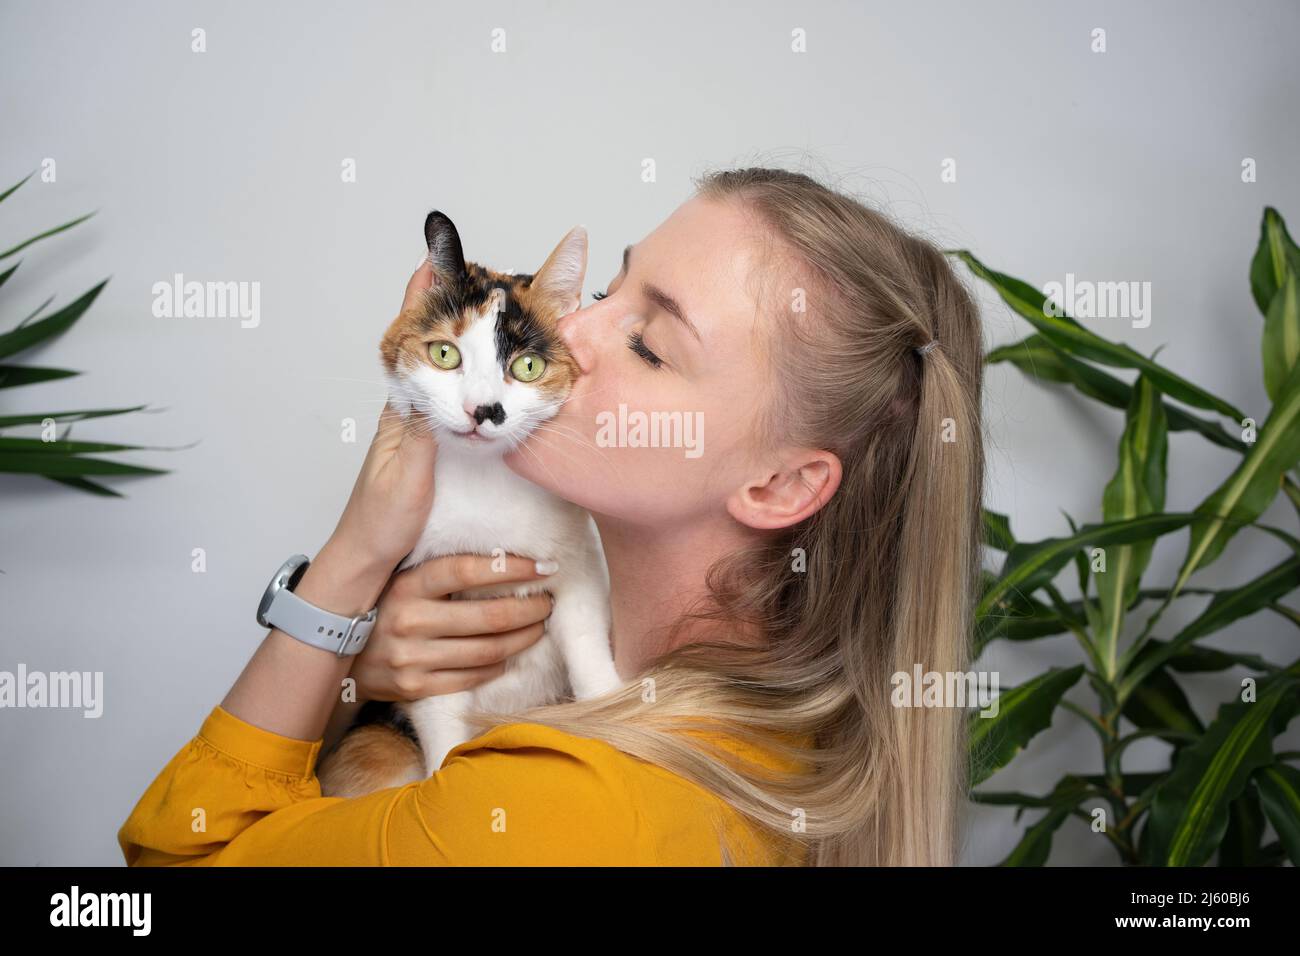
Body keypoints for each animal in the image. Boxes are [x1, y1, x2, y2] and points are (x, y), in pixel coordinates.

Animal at [313, 210, 618, 801]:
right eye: (444, 354)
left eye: (527, 366)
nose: (484, 410)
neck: (486, 488)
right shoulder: (429, 634)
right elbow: (442, 722)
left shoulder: (579, 574)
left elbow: (589, 651)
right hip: (375, 747)